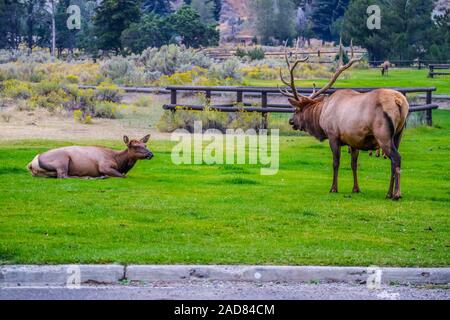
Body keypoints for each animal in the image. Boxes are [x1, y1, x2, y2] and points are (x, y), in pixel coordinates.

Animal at [280, 40, 410, 200]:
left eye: (297, 110)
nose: (291, 121)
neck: (321, 114)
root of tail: (400, 101)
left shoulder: (333, 136)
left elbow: (336, 163)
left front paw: (333, 188)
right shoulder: (354, 140)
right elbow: (353, 164)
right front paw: (356, 188)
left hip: (383, 134)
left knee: (396, 158)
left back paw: (397, 194)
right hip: (399, 134)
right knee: (393, 160)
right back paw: (388, 193)